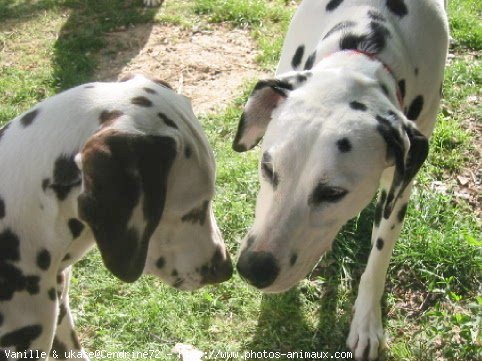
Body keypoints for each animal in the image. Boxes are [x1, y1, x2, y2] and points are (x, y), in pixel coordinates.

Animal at [233, 0, 448, 358]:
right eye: (268, 168)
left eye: (333, 193)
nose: (253, 270)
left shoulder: (399, 190)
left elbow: (378, 259)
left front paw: (367, 322)